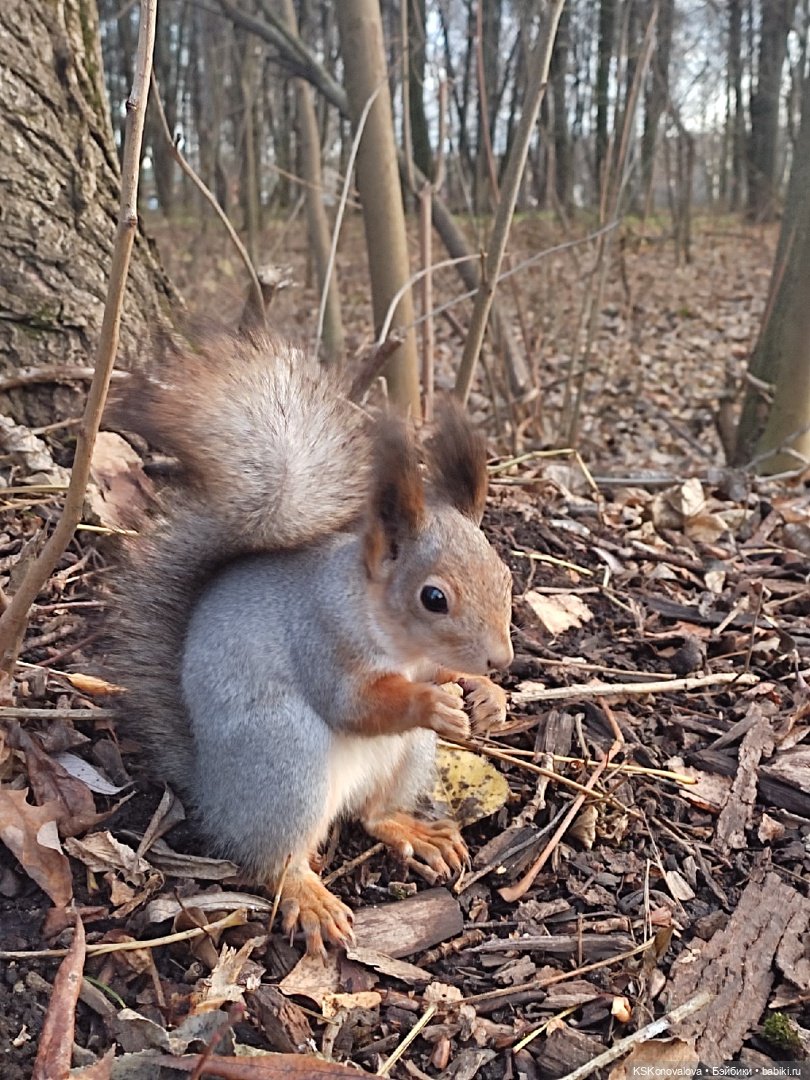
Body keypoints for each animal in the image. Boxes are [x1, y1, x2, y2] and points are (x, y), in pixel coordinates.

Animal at [109, 328, 514, 954]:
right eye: (433, 598)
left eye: (506, 575)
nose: (501, 659)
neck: (397, 642)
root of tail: (213, 794)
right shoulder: (320, 635)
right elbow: (353, 704)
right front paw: (433, 702)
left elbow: (445, 677)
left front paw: (486, 697)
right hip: (286, 757)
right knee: (276, 861)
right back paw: (308, 894)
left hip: (405, 757)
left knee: (372, 816)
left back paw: (414, 830)